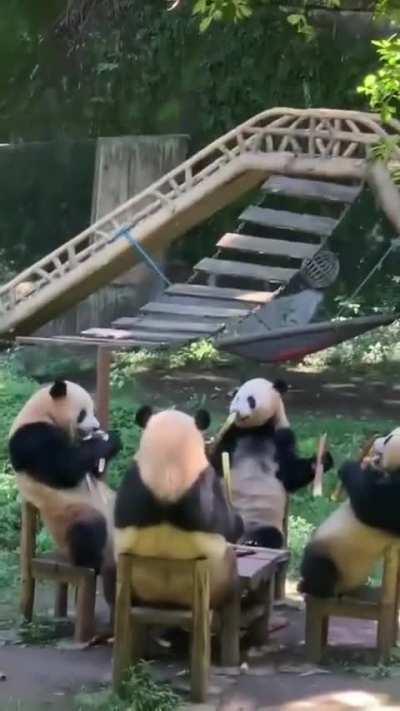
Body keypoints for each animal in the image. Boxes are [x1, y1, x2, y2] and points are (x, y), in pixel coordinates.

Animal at [9, 379, 121, 605]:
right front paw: (106, 441)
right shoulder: (30, 438)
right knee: (88, 528)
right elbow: (65, 469)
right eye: (83, 413)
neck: (42, 412)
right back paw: (92, 563)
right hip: (67, 516)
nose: (96, 427)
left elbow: (93, 471)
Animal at [210, 377, 333, 549]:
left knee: (270, 535)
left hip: (262, 521)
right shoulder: (233, 434)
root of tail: (237, 537)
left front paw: (321, 461)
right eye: (236, 398)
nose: (236, 411)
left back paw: (253, 541)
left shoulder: (283, 436)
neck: (258, 429)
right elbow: (217, 460)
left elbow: (290, 474)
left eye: (251, 400)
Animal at [299, 427, 400, 598]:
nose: (377, 440)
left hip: (332, 554)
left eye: (388, 440)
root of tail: (344, 588)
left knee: (317, 567)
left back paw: (310, 587)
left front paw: (350, 466)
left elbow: (373, 506)